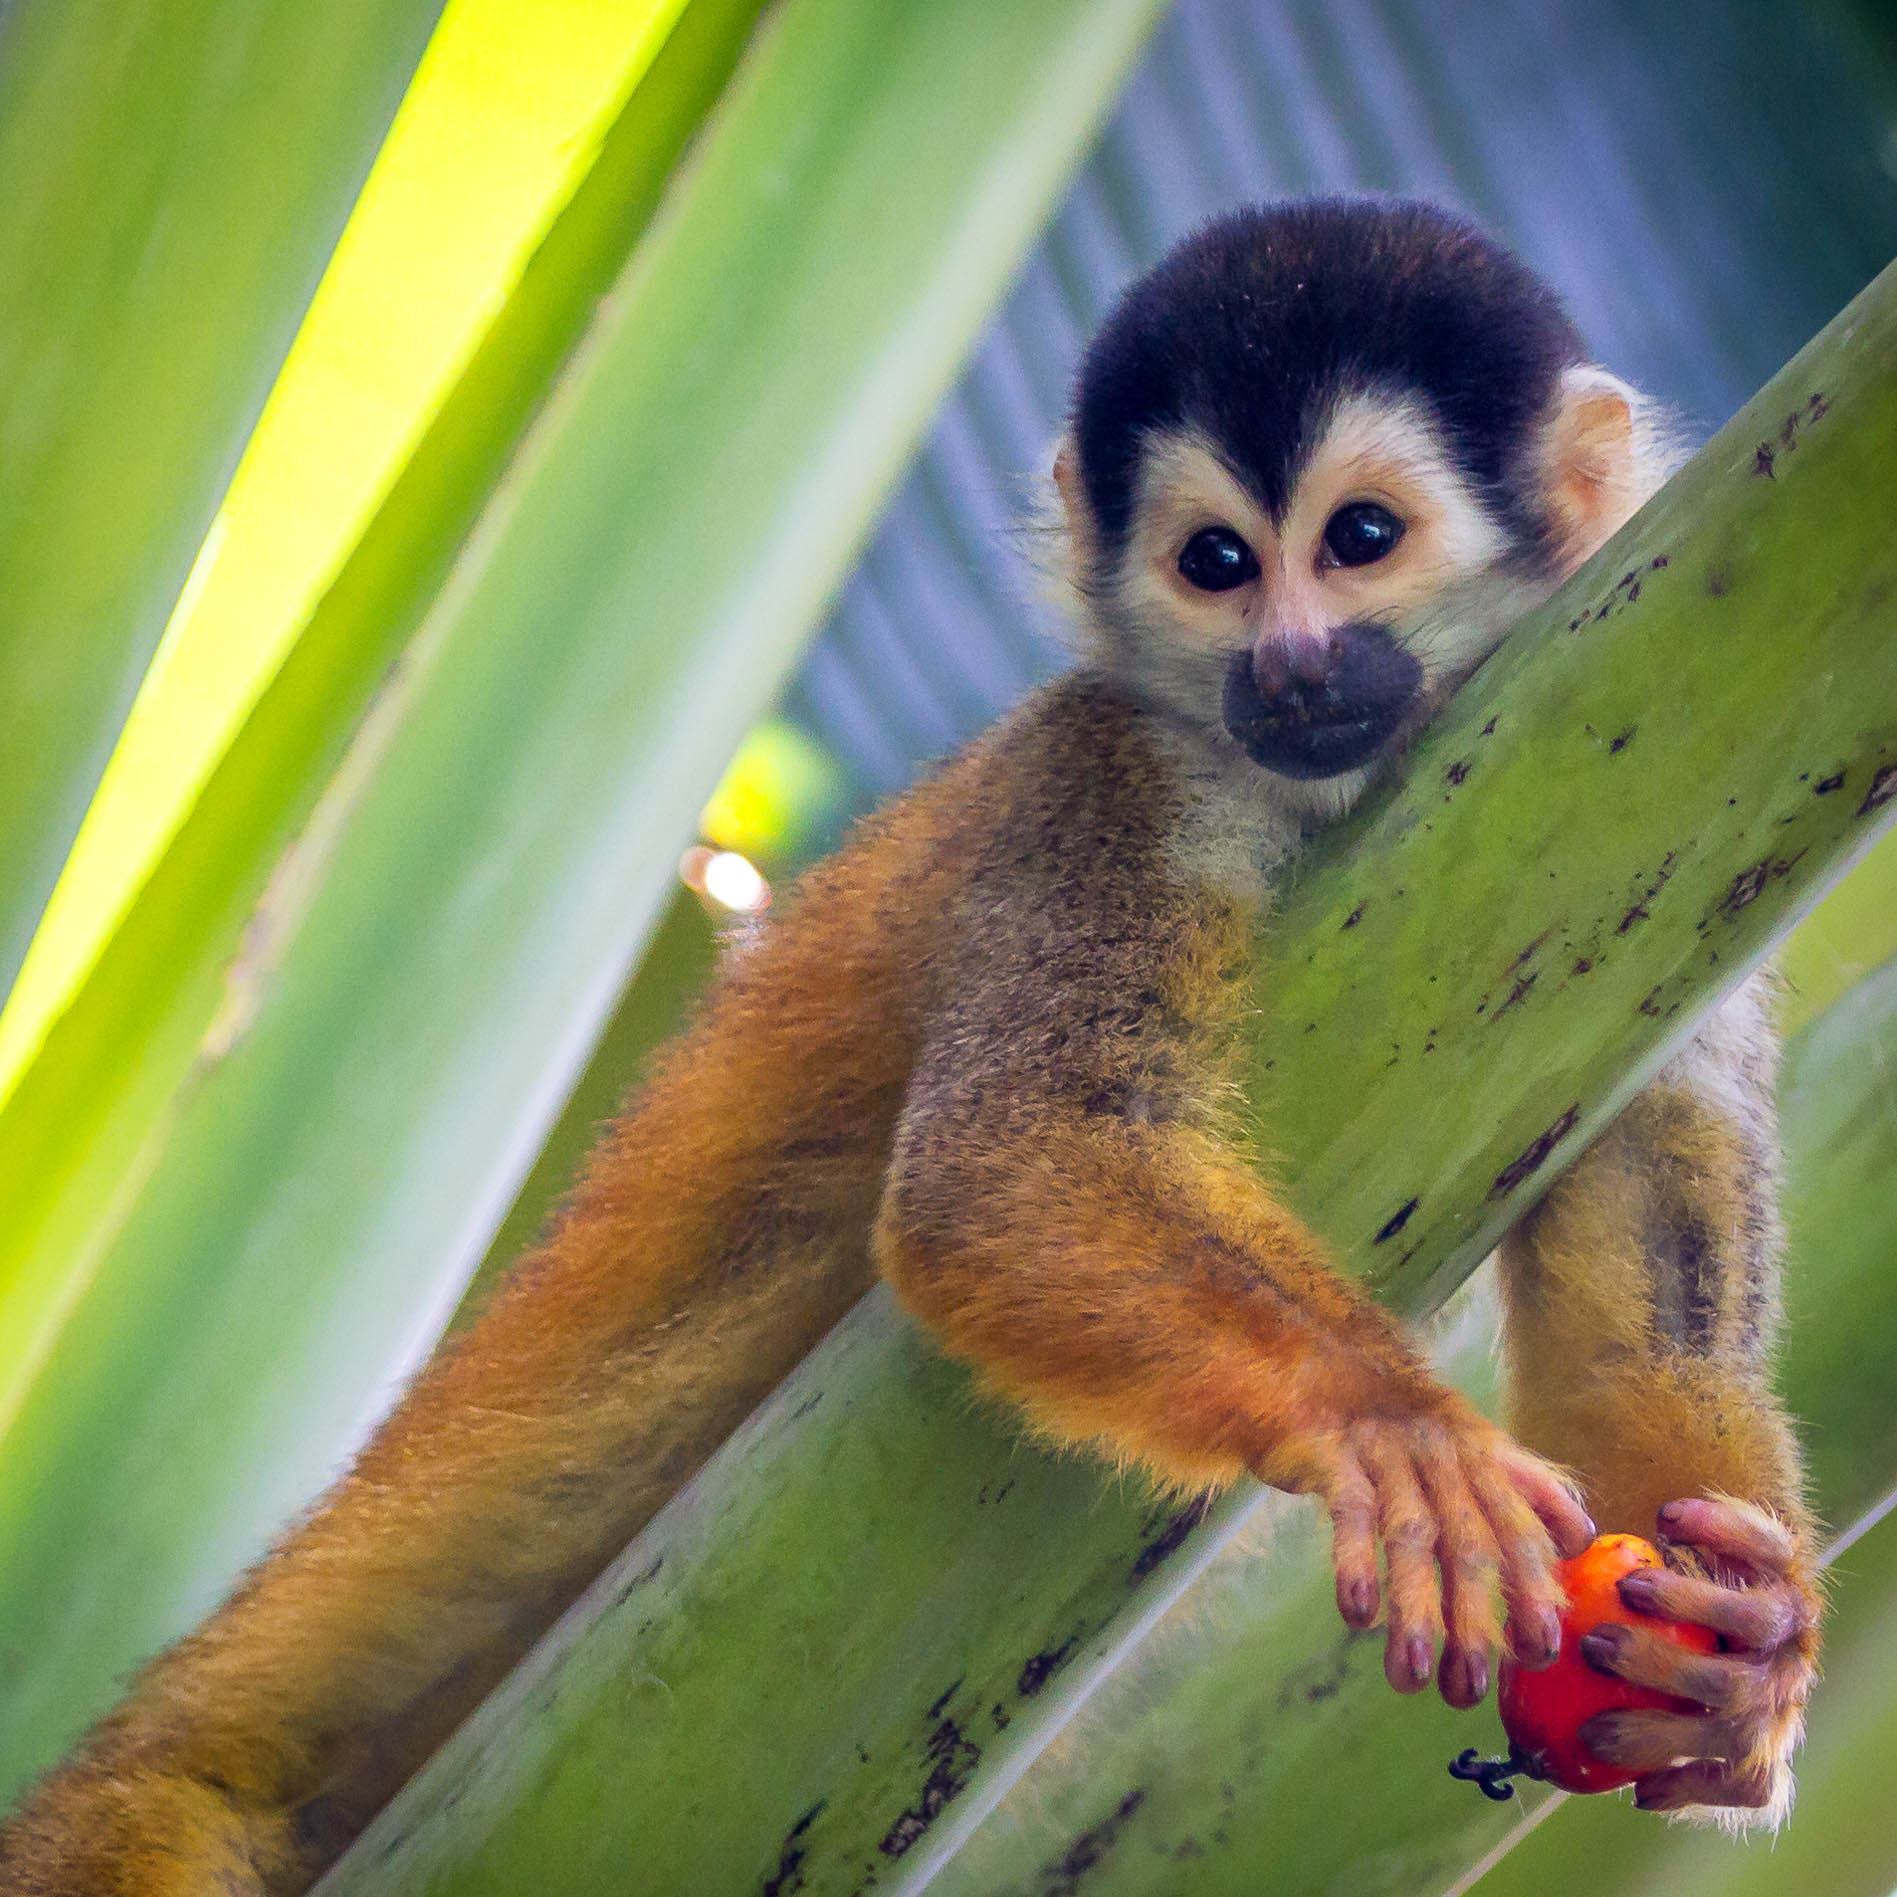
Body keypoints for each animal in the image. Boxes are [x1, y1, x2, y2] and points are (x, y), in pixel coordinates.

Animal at [0, 200, 1813, 1889]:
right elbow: (1000, 1171)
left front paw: (1740, 1644)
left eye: (1358, 539)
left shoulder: (1628, 764)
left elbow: (1638, 1344)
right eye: (1215, 564)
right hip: (147, 1807)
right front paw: (1389, 1424)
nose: (1289, 664)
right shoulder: (1103, 778)